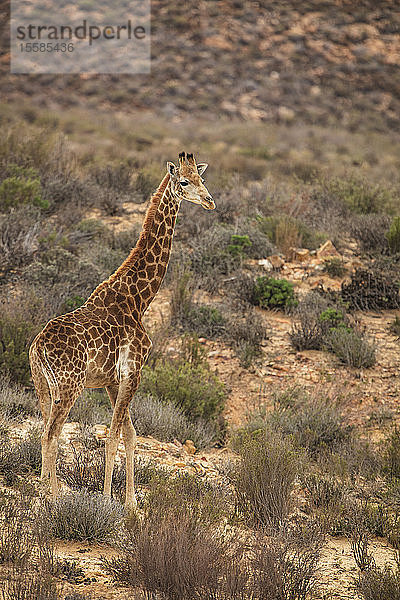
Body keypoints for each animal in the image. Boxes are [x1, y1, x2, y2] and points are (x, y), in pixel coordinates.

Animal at [29, 152, 214, 508]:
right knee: (52, 434)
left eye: (203, 179)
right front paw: (106, 500)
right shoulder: (133, 371)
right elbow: (114, 434)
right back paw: (53, 499)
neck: (138, 299)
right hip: (70, 385)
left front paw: (131, 503)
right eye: (184, 182)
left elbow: (129, 433)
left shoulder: (112, 380)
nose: (210, 201)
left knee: (43, 429)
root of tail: (38, 347)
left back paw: (42, 493)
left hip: (42, 386)